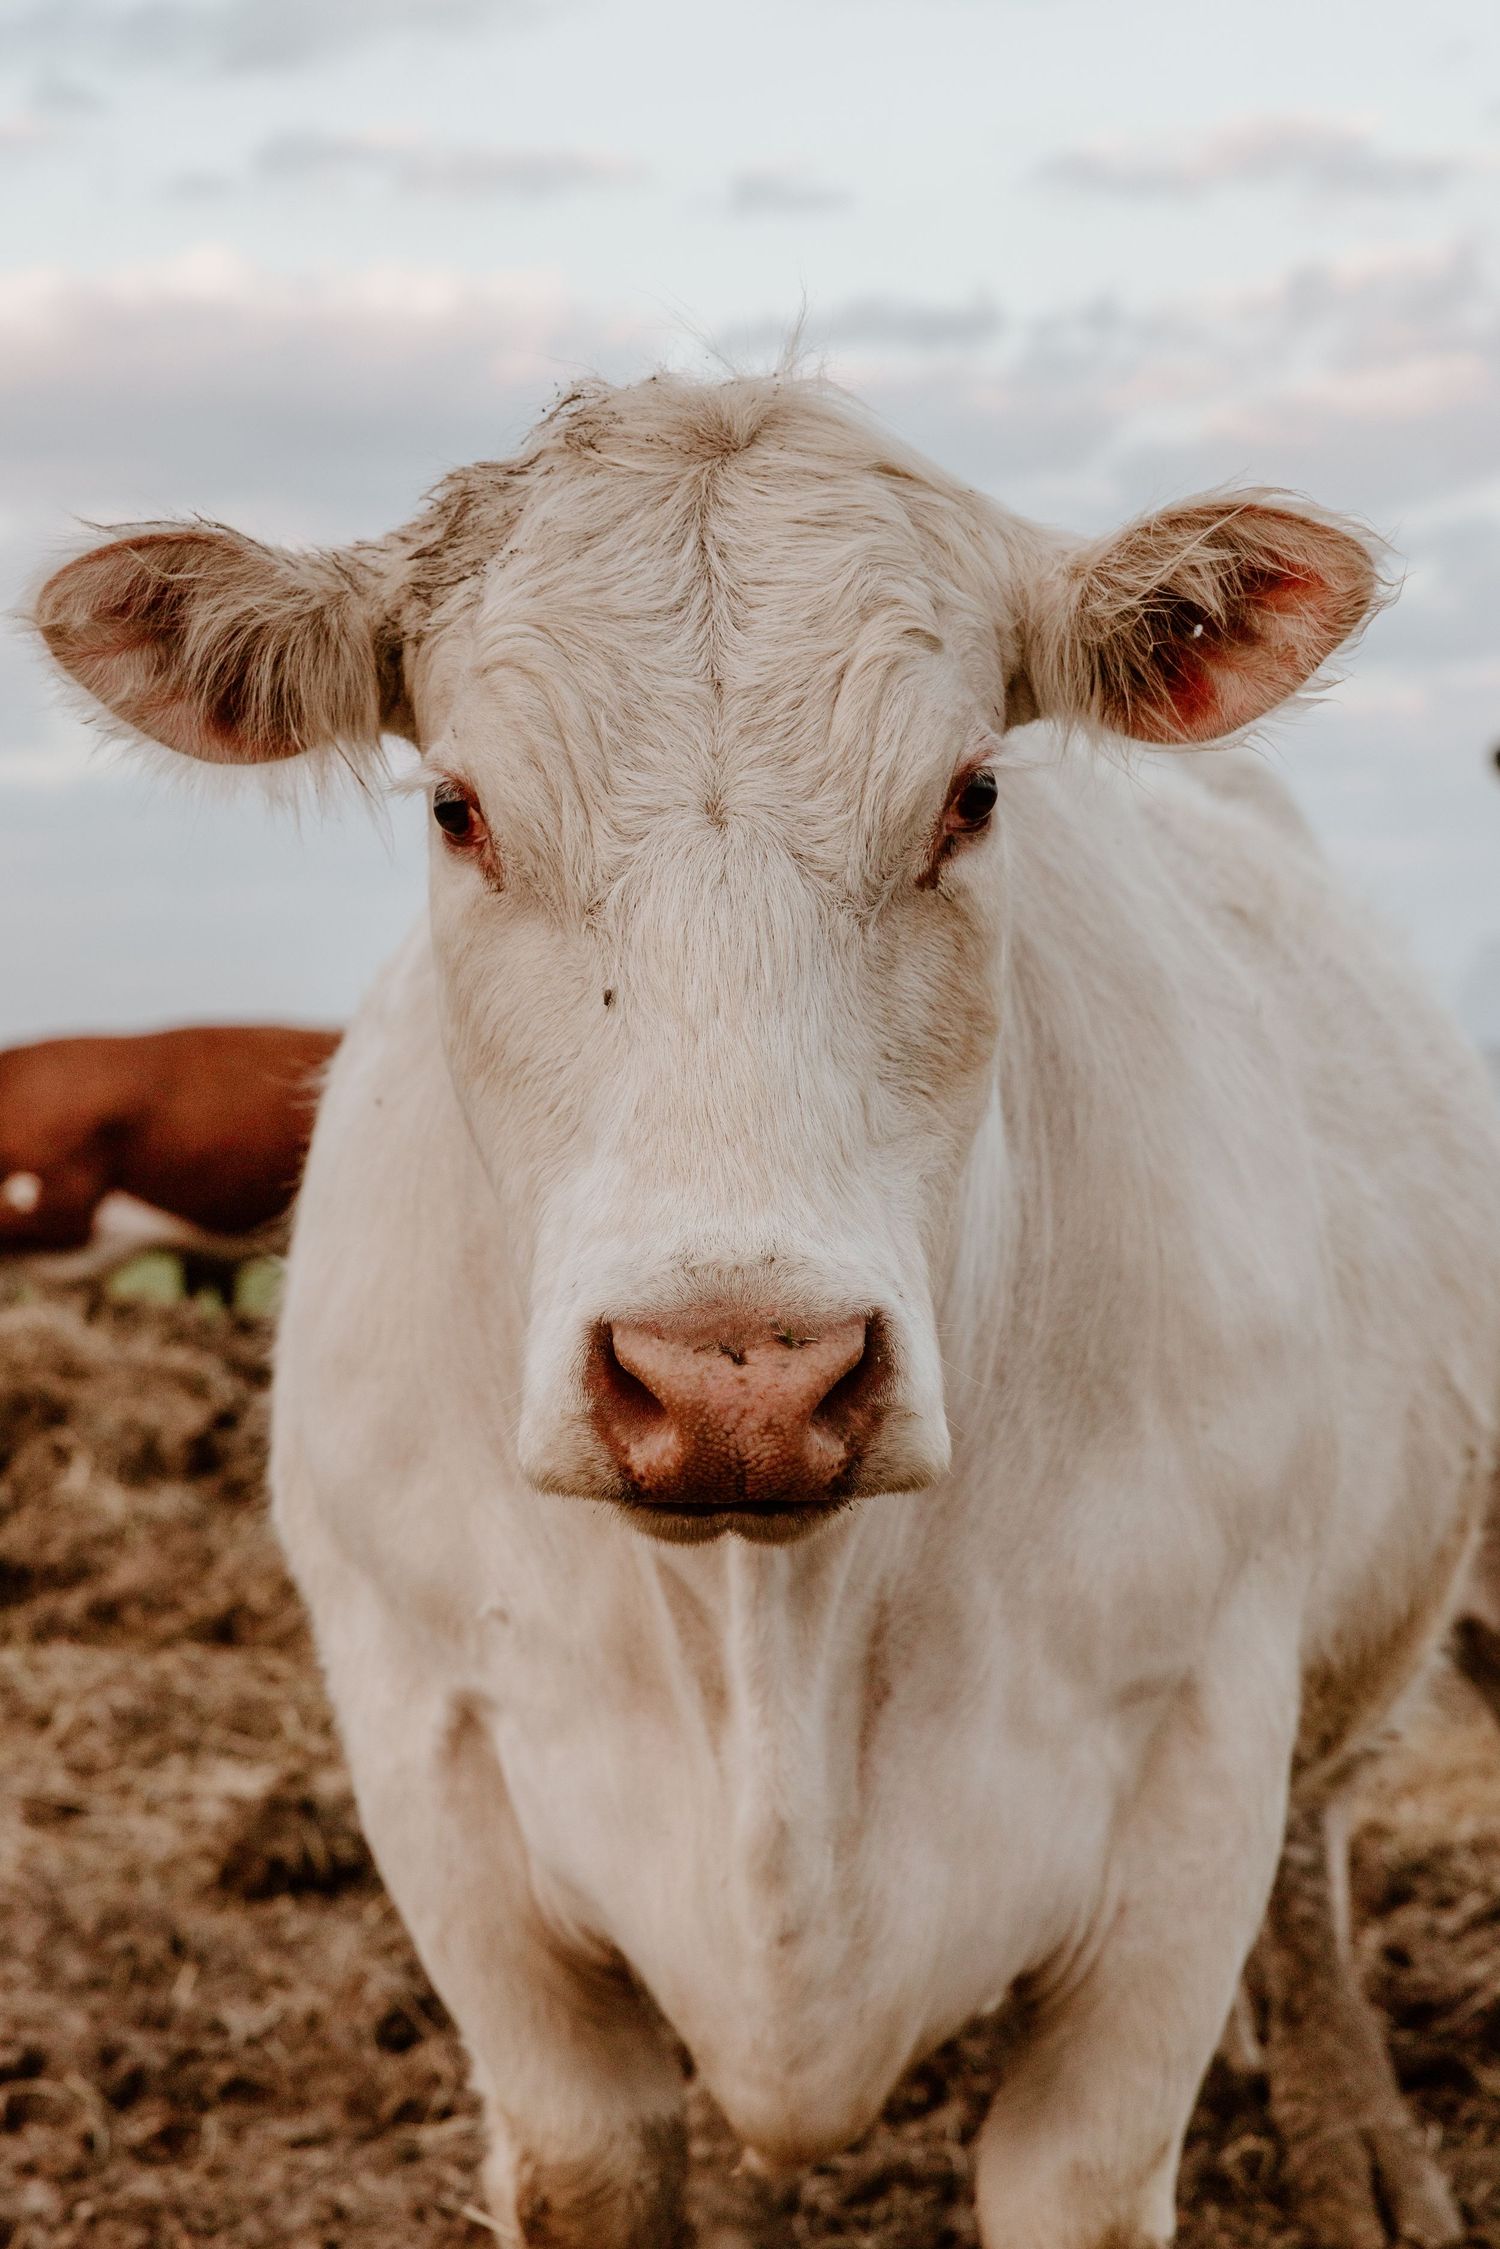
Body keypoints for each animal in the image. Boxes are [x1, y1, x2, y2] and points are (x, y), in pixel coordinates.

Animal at [34, 373, 1500, 2249]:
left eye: (970, 795)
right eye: (457, 808)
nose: (740, 1378)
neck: (774, 1642)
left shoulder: (1196, 1768)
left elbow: (1093, 2157)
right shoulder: (440, 1780)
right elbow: (585, 2156)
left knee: (1317, 1863)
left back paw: (1353, 2142)